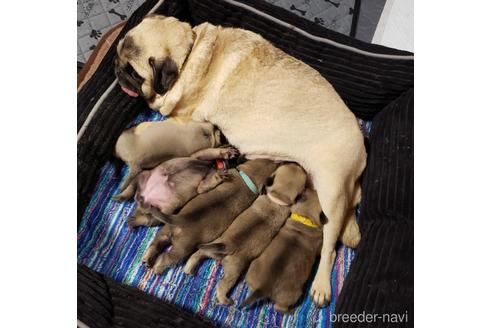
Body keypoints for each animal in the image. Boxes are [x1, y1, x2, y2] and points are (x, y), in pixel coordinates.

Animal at [144, 159, 278, 274]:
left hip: (172, 238)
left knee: (158, 247)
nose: (279, 161)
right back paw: (154, 265)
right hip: (178, 244)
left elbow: (201, 188)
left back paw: (149, 261)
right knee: (164, 254)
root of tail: (180, 220)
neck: (248, 179)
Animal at [184, 163, 308, 304]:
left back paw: (189, 268)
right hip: (234, 270)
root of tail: (226, 246)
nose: (297, 163)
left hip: (211, 249)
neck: (277, 198)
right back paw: (226, 301)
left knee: (197, 254)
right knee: (222, 285)